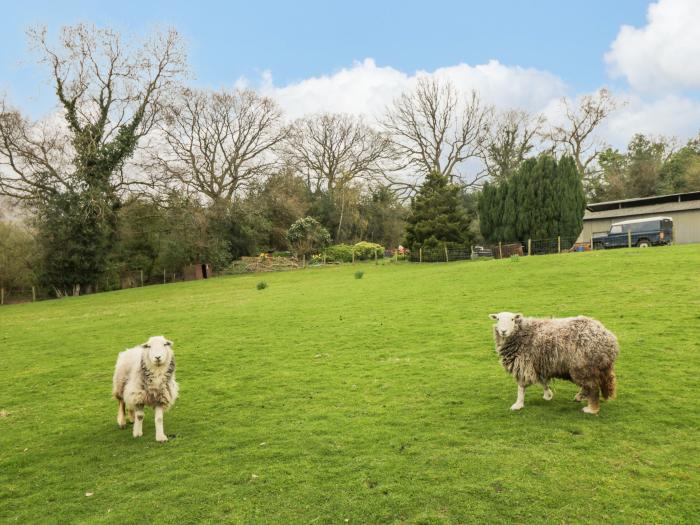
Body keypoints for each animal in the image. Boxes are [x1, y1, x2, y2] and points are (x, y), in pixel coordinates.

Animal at [486, 312, 616, 414]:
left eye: (512, 319)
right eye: (497, 319)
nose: (503, 331)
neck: (522, 333)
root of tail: (608, 337)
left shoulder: (523, 364)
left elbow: (521, 387)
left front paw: (518, 404)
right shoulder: (539, 365)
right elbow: (543, 381)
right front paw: (548, 395)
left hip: (584, 365)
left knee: (593, 387)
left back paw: (591, 409)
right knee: (588, 385)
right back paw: (579, 397)